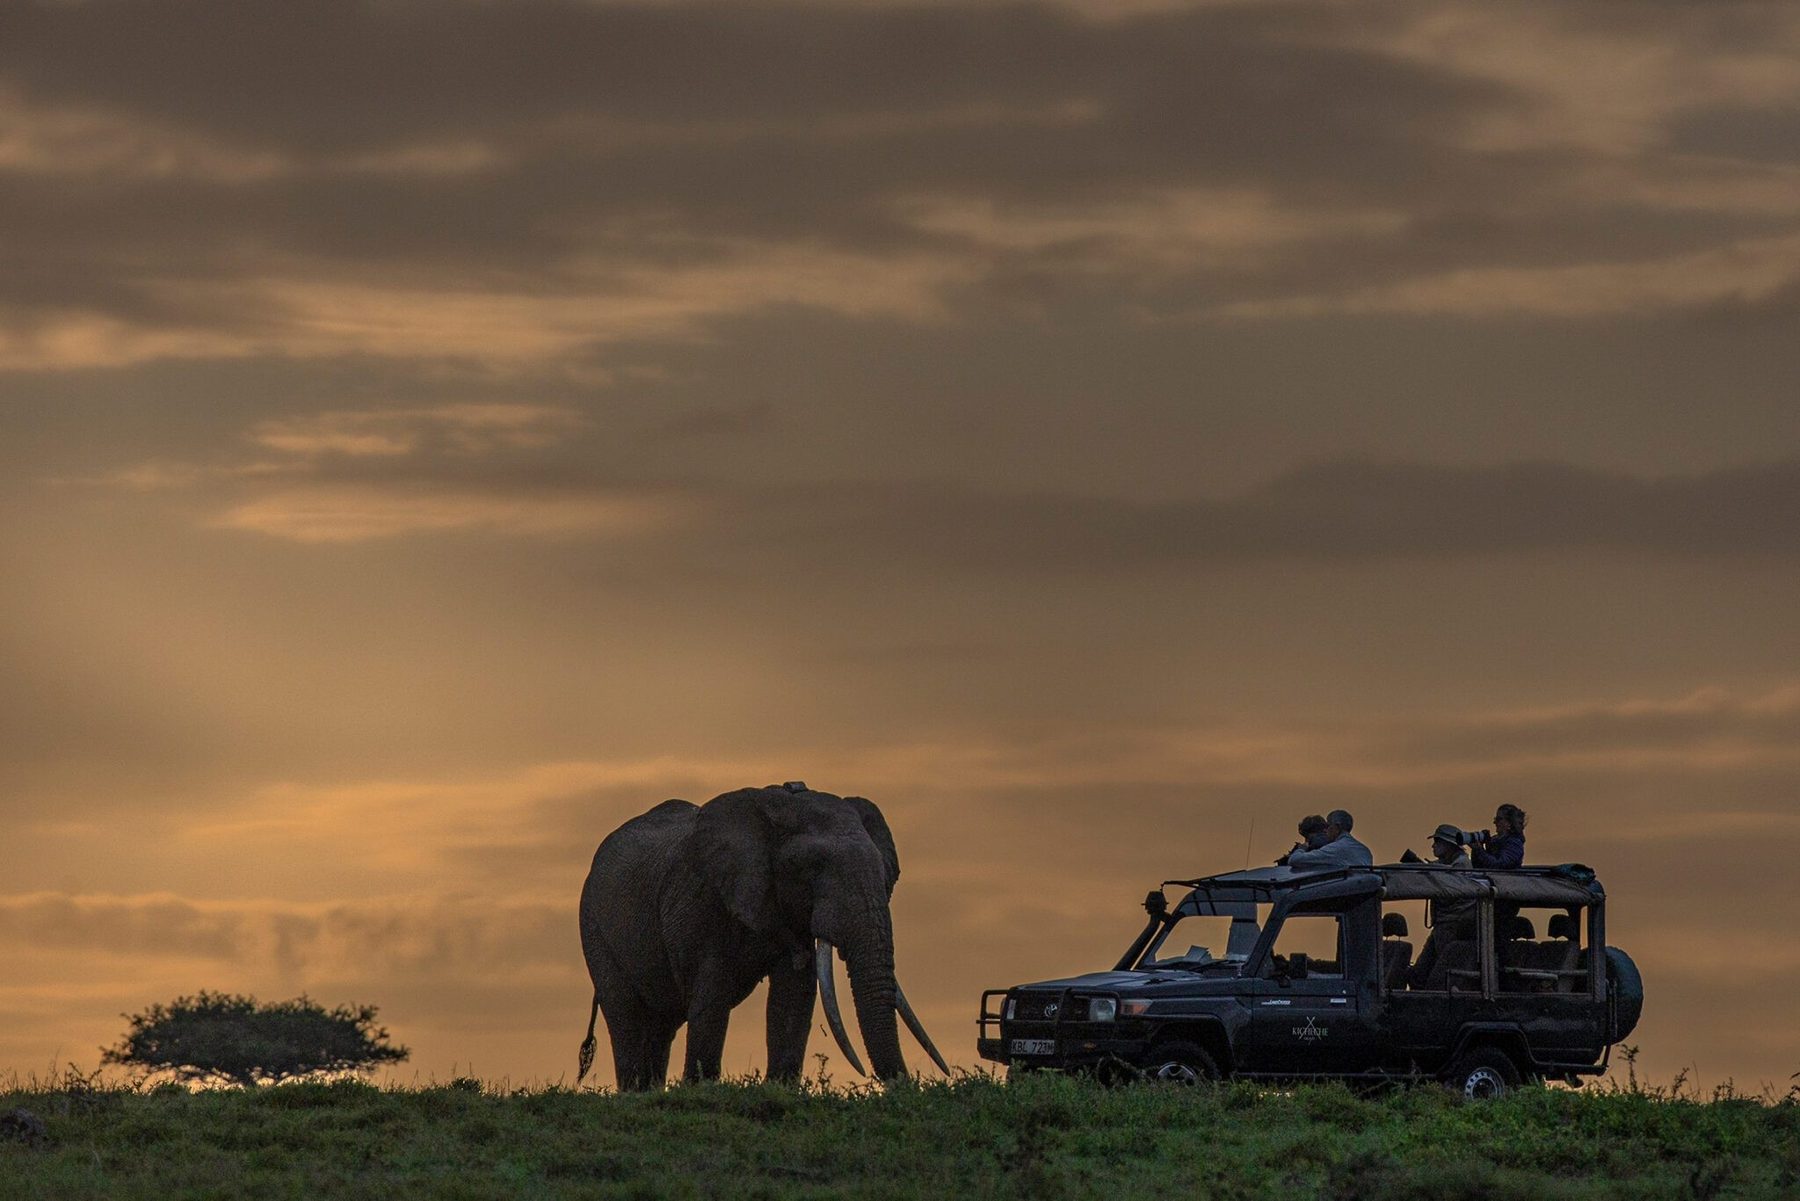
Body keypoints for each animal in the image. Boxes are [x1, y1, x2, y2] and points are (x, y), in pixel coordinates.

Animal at [576, 781, 948, 1090]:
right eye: (810, 868)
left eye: (884, 873)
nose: (905, 1084)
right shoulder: (700, 898)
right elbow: (711, 995)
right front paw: (700, 1090)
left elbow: (794, 996)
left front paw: (780, 1090)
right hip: (593, 926)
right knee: (625, 1015)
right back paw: (634, 1091)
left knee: (660, 1026)